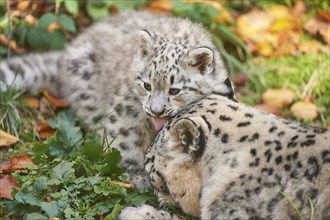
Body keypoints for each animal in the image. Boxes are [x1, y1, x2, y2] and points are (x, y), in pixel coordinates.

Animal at [0, 11, 235, 187]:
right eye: (147, 85)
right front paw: (136, 176)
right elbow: (126, 140)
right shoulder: (126, 111)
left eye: (175, 90)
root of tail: (64, 55)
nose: (156, 110)